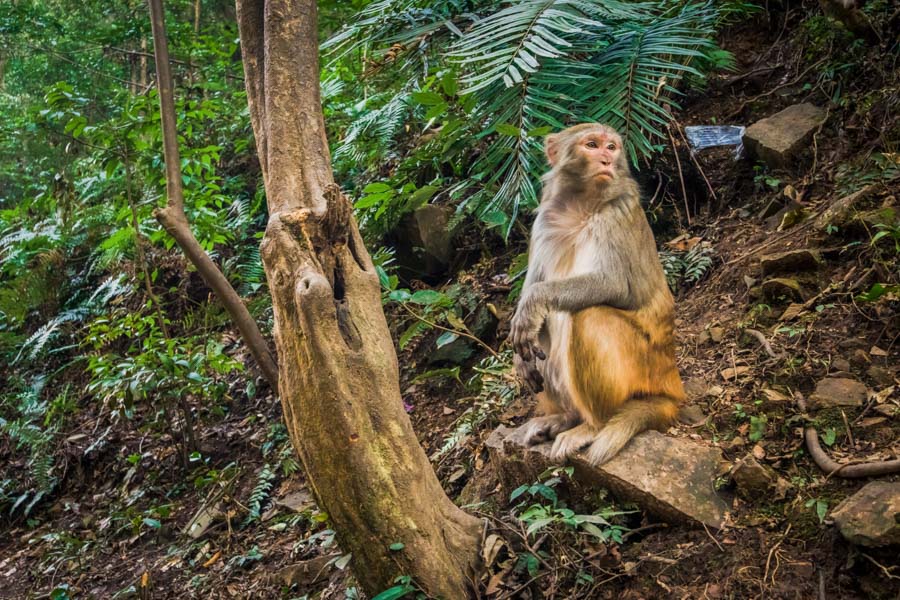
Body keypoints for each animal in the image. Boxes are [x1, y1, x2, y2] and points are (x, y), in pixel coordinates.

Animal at [509, 123, 685, 466]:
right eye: (592, 145)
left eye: (611, 147)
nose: (606, 160)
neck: (581, 205)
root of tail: (671, 378)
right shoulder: (543, 222)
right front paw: (519, 356)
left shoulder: (617, 214)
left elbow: (615, 285)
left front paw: (534, 302)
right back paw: (565, 417)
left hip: (644, 367)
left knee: (587, 314)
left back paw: (593, 425)